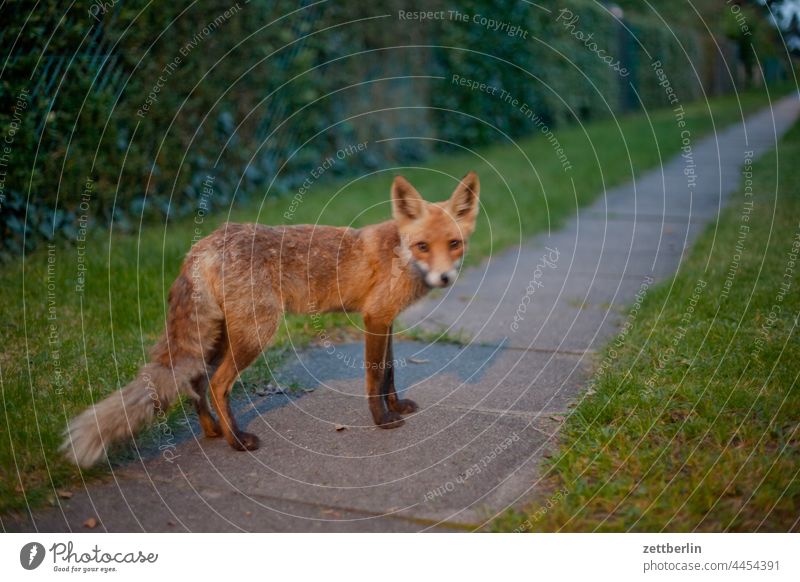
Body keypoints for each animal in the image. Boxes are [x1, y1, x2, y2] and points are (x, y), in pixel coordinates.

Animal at [62, 172, 482, 470]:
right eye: (423, 246)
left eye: (454, 244)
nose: (445, 278)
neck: (399, 254)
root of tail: (202, 245)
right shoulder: (375, 316)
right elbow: (374, 377)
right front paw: (383, 421)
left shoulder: (385, 320)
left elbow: (390, 372)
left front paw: (396, 407)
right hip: (256, 333)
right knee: (216, 383)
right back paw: (236, 442)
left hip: (222, 334)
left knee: (194, 379)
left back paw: (214, 431)